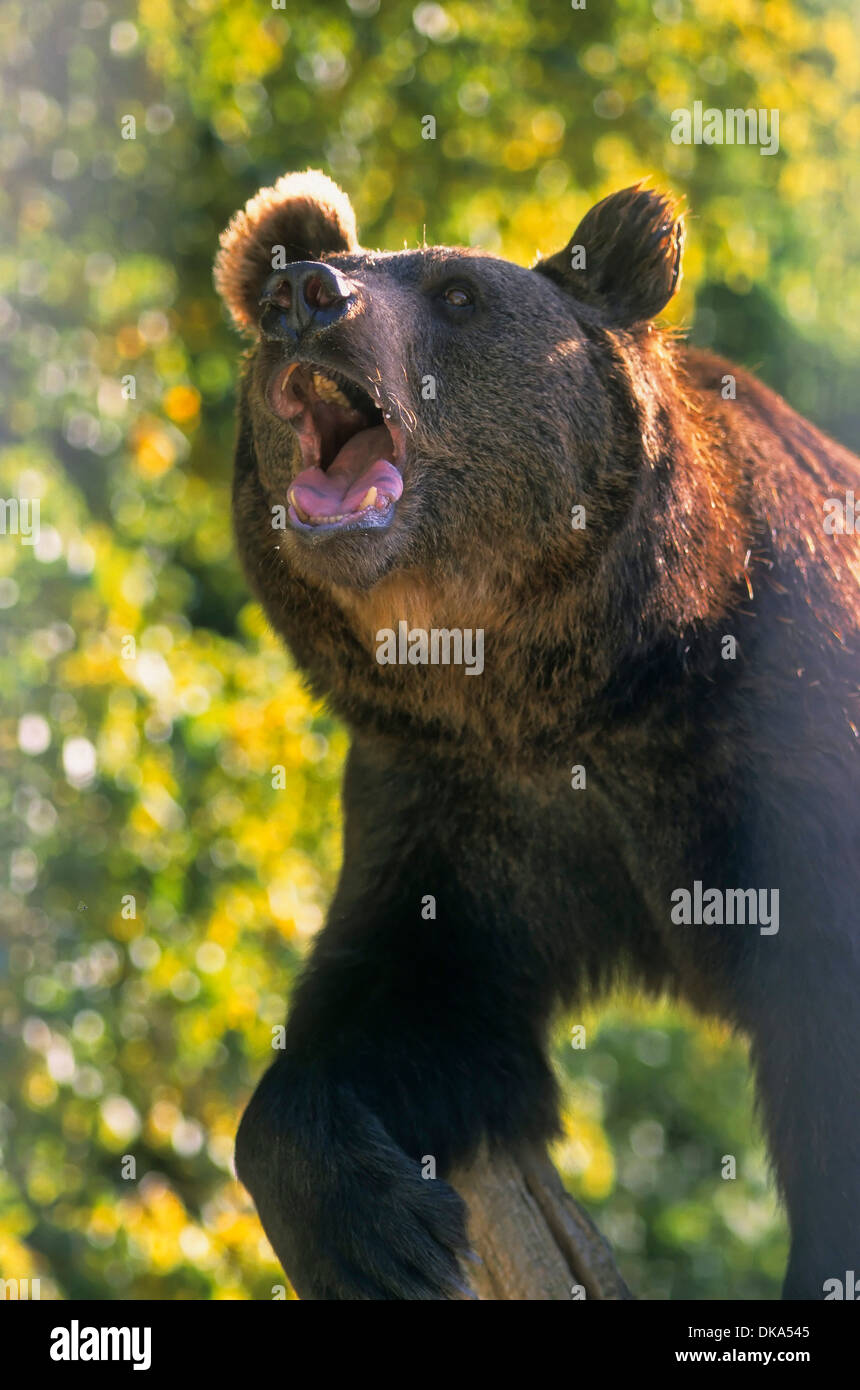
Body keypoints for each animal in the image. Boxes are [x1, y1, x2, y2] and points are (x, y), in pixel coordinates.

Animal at [213, 168, 860, 1295]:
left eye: (459, 292)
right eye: (298, 276)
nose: (307, 297)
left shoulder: (777, 748)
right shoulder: (462, 801)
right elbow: (412, 1007)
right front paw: (383, 1233)